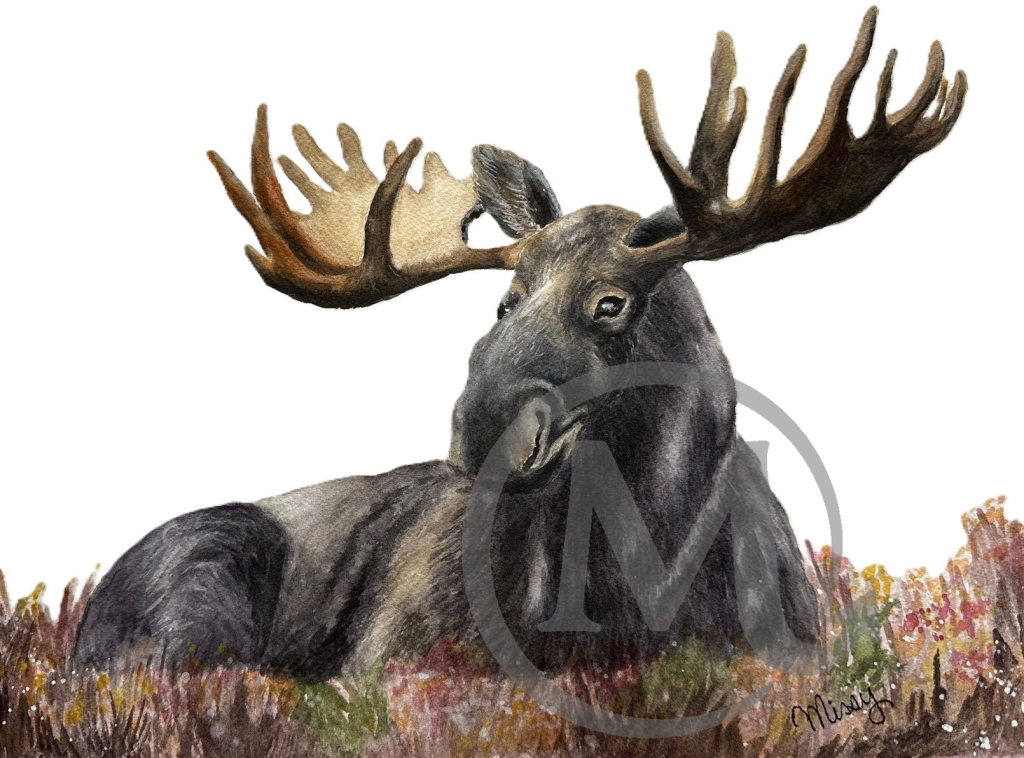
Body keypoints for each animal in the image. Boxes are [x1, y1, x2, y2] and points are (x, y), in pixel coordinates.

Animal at [73, 8, 965, 682]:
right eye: (506, 300)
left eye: (611, 302)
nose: (484, 429)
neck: (627, 580)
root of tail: (83, 617)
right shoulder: (386, 662)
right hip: (196, 590)